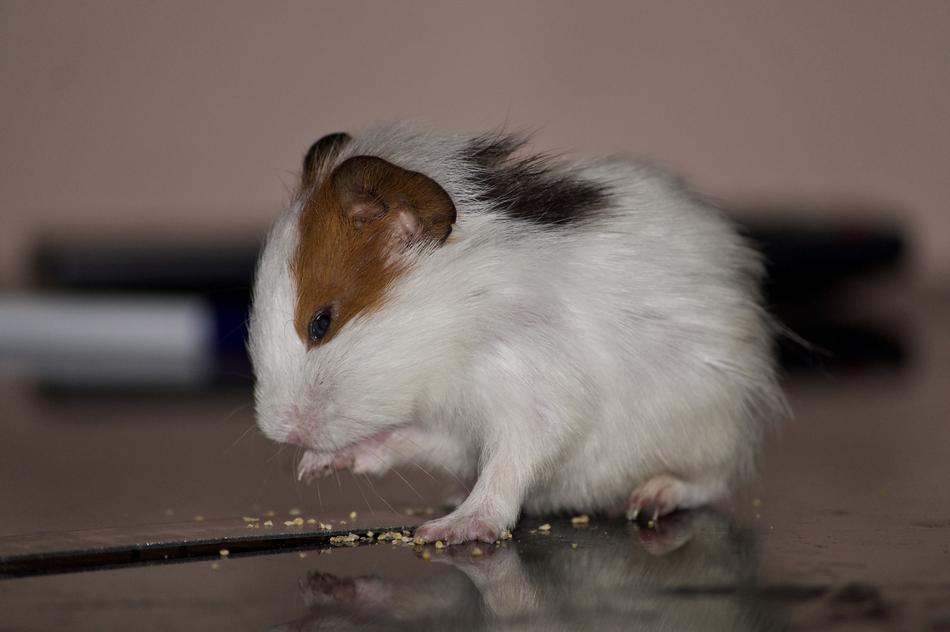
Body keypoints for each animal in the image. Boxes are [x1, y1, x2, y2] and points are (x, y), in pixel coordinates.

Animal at [248, 125, 785, 544]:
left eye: (321, 322)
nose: (280, 432)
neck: (454, 331)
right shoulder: (451, 426)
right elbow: (402, 441)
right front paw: (316, 466)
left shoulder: (537, 400)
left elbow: (507, 469)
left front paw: (450, 530)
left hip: (714, 430)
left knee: (710, 484)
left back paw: (649, 499)